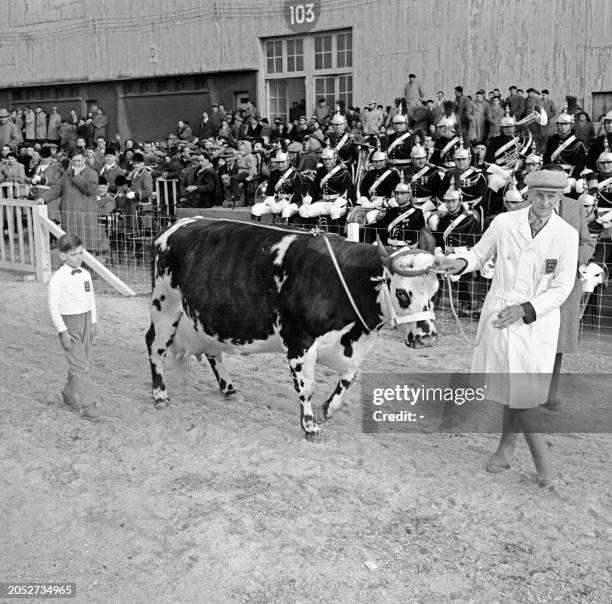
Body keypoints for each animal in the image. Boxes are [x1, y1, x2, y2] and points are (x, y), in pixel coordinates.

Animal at [145, 219, 438, 436]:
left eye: (435, 291)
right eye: (403, 293)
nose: (427, 337)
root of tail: (174, 226)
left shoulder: (343, 346)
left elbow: (349, 377)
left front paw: (328, 409)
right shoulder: (300, 341)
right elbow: (307, 386)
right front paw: (310, 427)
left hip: (209, 318)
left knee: (212, 352)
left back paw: (229, 389)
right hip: (165, 306)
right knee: (154, 346)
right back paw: (160, 396)